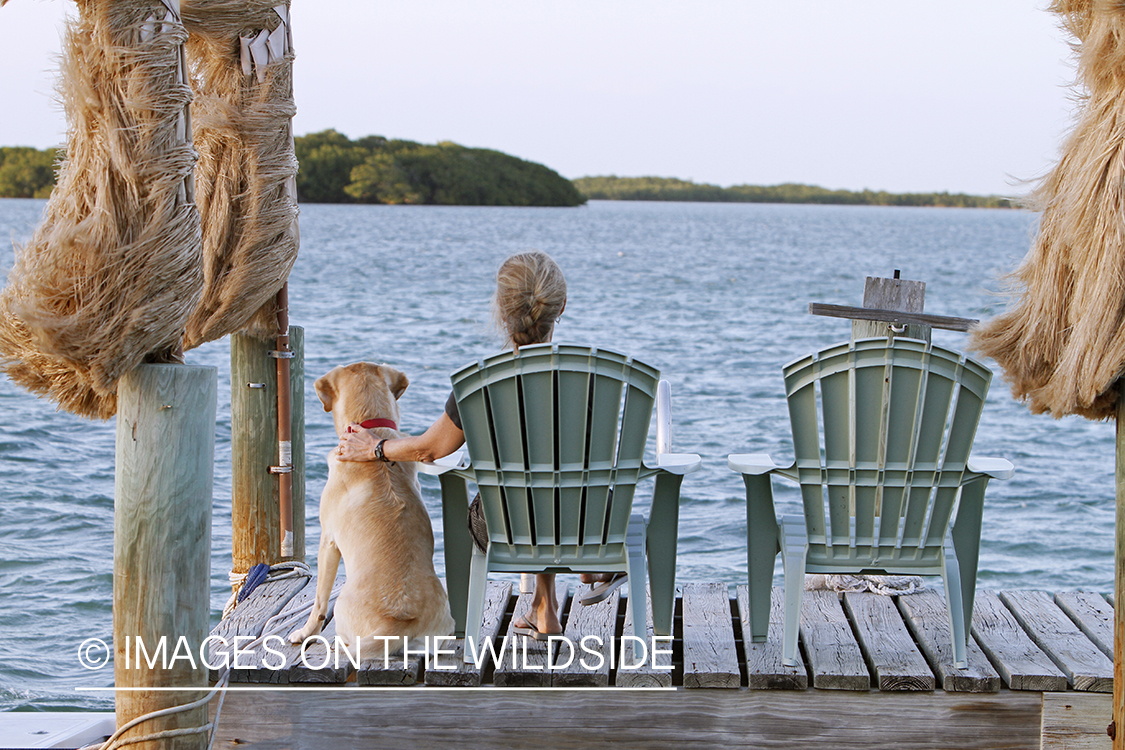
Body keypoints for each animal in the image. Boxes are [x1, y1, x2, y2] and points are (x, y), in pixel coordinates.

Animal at [288, 364, 454, 656]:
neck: (372, 425)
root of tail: (398, 623)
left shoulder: (327, 541)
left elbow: (319, 601)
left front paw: (305, 633)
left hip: (342, 605)